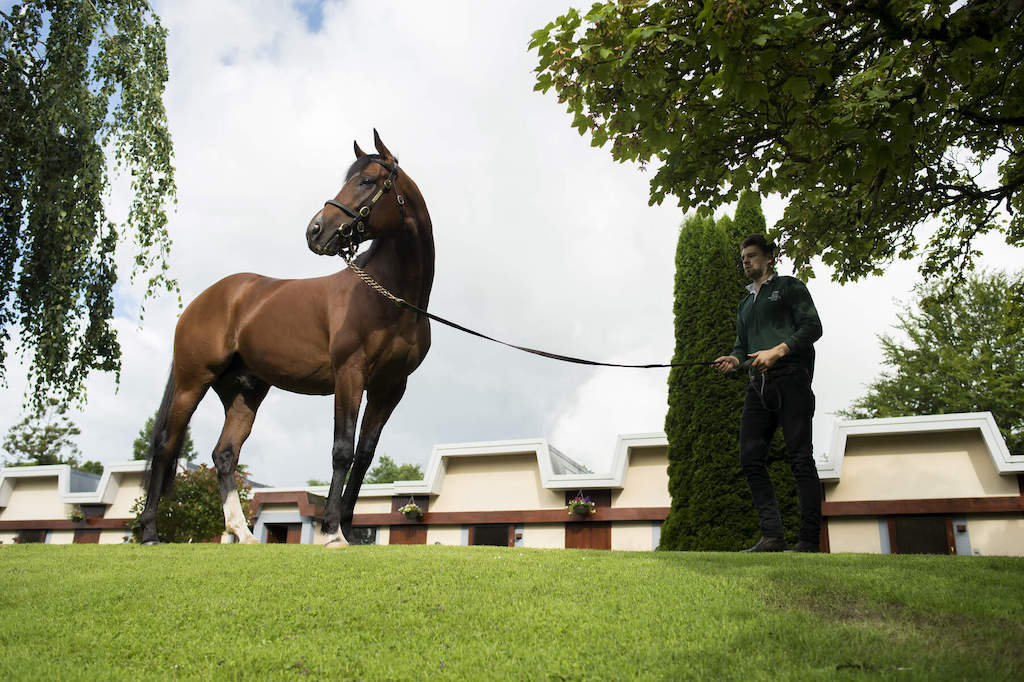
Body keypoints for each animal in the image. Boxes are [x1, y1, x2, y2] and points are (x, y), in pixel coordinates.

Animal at [139, 131, 433, 548]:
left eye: (367, 181)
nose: (316, 230)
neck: (388, 296)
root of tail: (205, 298)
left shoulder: (390, 387)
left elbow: (364, 456)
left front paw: (347, 529)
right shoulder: (350, 374)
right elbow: (342, 450)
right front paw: (331, 532)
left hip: (244, 392)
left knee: (225, 454)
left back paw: (242, 533)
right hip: (192, 382)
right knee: (166, 444)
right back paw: (150, 532)